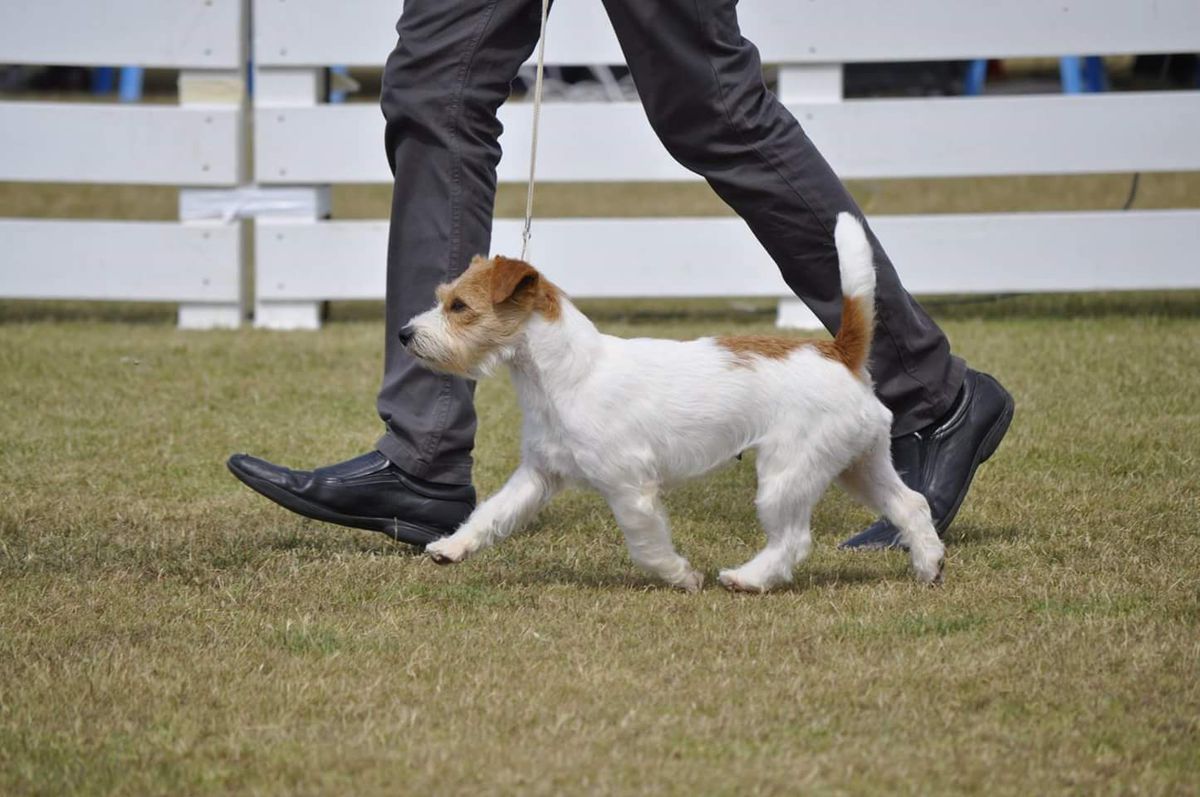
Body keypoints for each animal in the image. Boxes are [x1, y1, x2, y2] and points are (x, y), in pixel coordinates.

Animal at [403, 214, 945, 595]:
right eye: (442, 297)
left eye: (460, 307)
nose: (406, 334)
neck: (566, 373)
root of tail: (840, 353)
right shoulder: (539, 474)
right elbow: (491, 514)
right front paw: (451, 547)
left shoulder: (630, 487)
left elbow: (646, 545)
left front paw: (682, 576)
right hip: (861, 464)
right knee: (911, 504)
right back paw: (929, 566)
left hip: (786, 476)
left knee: (793, 539)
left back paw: (746, 579)